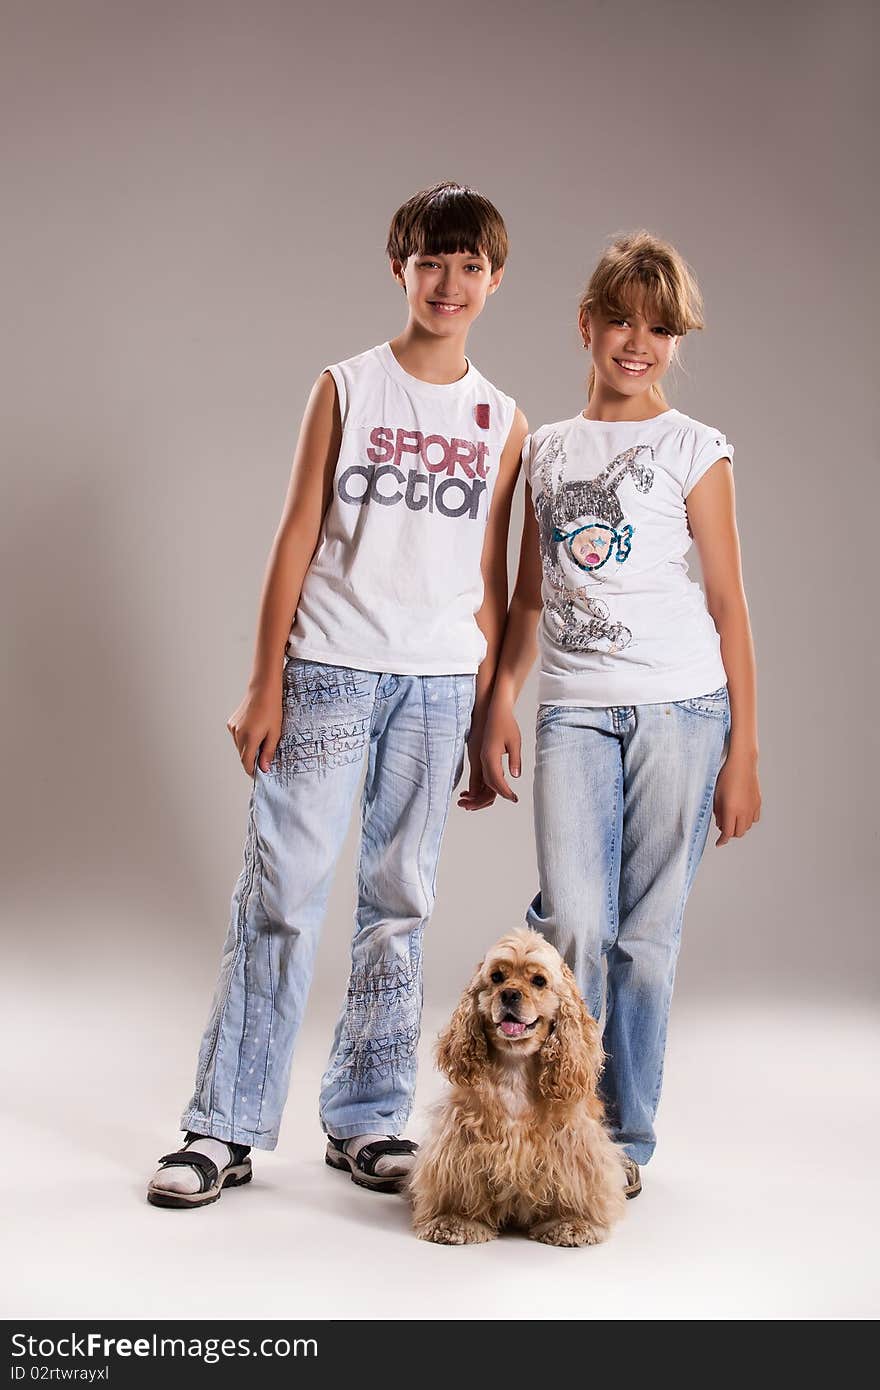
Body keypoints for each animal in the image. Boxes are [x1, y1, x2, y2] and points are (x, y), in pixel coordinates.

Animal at [411, 928, 625, 1245]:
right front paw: (455, 1221)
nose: (510, 993)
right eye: (497, 977)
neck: (516, 1067)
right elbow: (460, 1186)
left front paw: (571, 1223)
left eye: (539, 981)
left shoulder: (572, 1142)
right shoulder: (461, 1139)